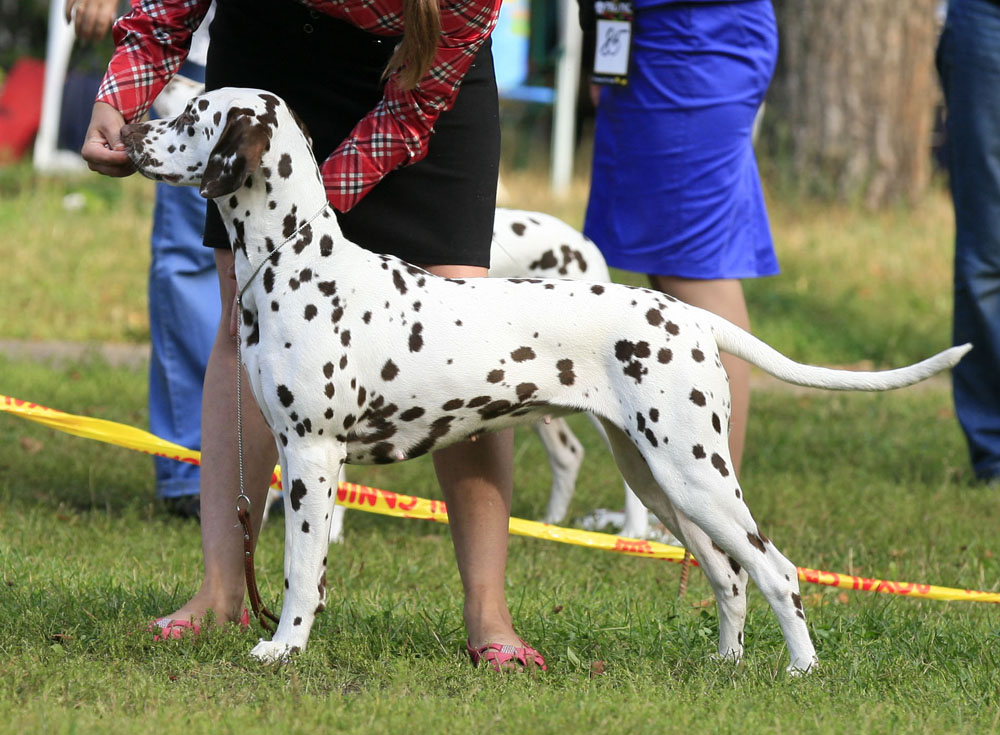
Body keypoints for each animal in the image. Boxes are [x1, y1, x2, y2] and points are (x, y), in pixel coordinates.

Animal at [121, 89, 972, 676]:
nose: (127, 129)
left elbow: (300, 571)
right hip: (662, 480)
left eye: (194, 110)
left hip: (696, 477)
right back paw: (725, 666)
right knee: (729, 576)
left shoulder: (310, 454)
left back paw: (801, 669)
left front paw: (283, 648)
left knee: (777, 569)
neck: (298, 260)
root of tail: (689, 316)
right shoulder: (291, 455)